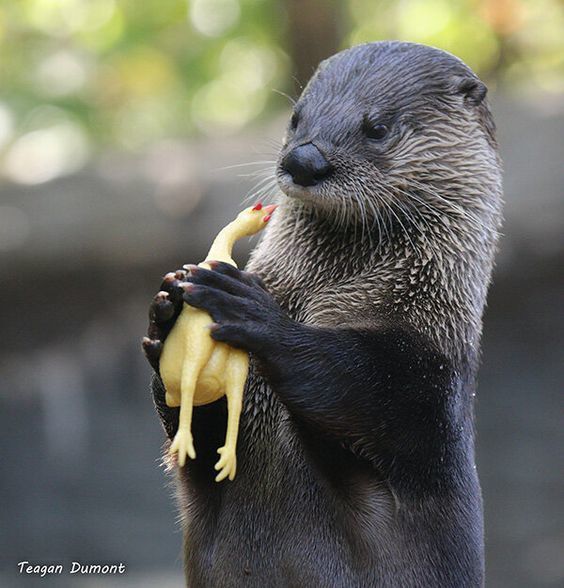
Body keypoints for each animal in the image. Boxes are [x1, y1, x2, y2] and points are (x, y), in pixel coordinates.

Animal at [142, 42, 502, 588]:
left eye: (377, 127)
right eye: (296, 119)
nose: (303, 159)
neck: (323, 294)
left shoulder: (426, 387)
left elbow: (356, 382)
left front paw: (254, 311)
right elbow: (201, 437)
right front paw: (165, 317)